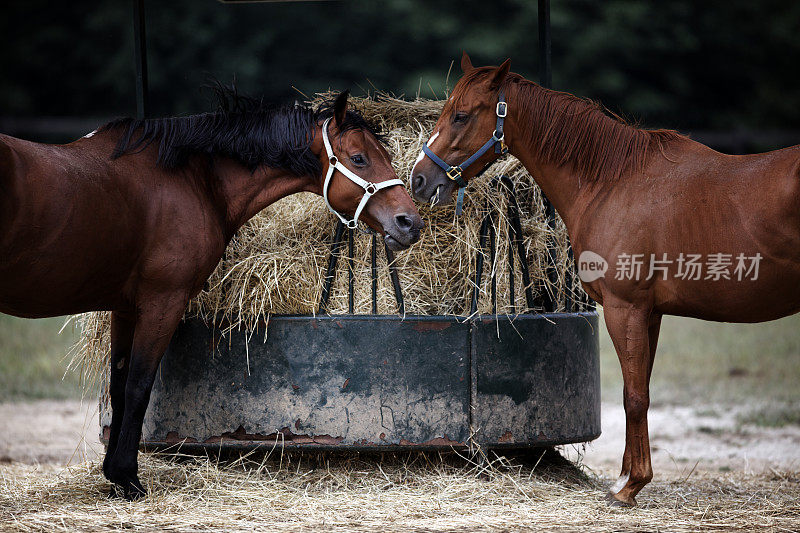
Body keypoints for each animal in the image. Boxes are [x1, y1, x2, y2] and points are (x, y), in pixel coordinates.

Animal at [0, 85, 424, 496]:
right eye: (359, 158)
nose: (410, 222)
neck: (190, 179)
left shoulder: (125, 308)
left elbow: (119, 387)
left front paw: (113, 475)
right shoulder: (162, 302)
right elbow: (139, 386)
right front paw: (127, 478)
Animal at [412, 52, 800, 504]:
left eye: (460, 115)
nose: (419, 179)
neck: (614, 182)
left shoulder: (624, 308)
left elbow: (634, 397)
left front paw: (631, 485)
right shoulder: (650, 314)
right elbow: (639, 390)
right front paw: (626, 476)